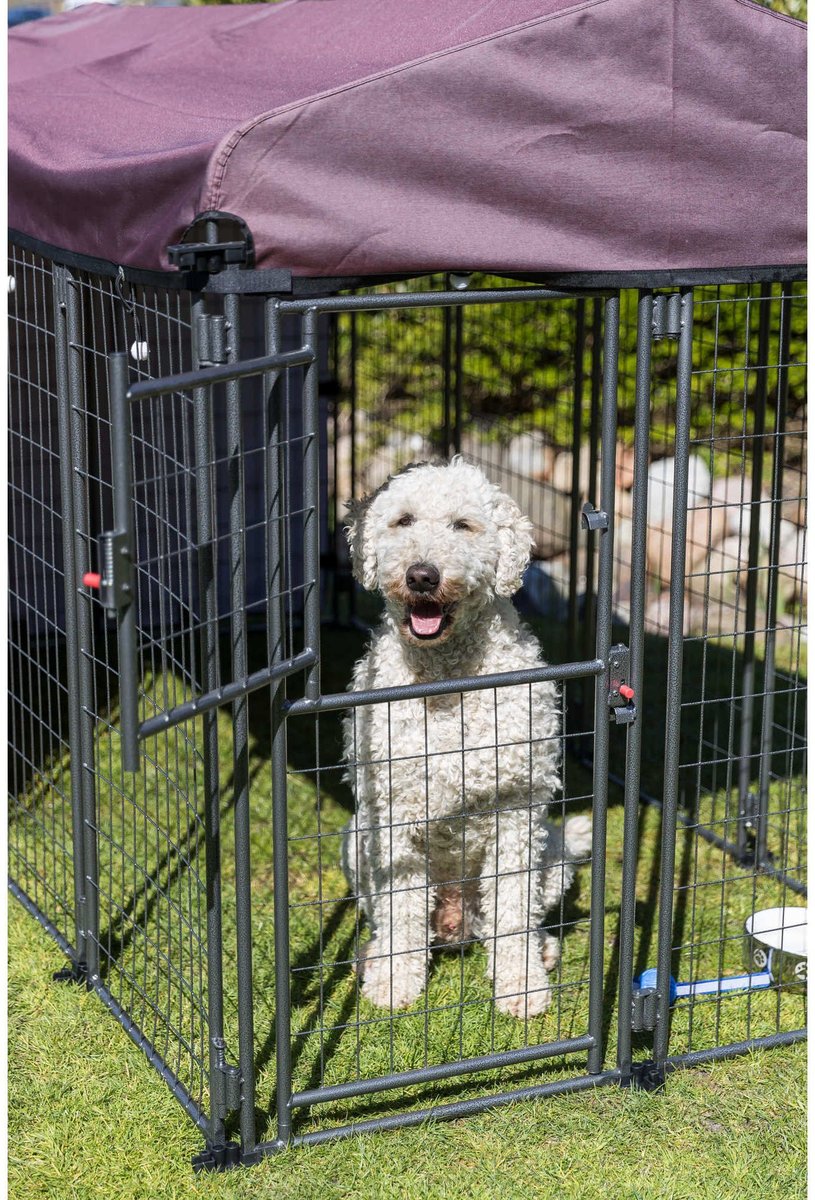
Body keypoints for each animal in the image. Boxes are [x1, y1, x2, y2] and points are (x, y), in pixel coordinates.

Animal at [340, 453, 590, 1017]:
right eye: (403, 520)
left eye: (463, 525)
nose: (422, 575)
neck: (447, 679)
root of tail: (456, 920)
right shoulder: (394, 816)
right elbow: (402, 911)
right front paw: (395, 981)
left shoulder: (516, 811)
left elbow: (514, 912)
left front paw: (520, 985)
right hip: (356, 843)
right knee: (394, 918)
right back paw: (374, 956)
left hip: (553, 853)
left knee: (518, 917)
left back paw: (540, 951)